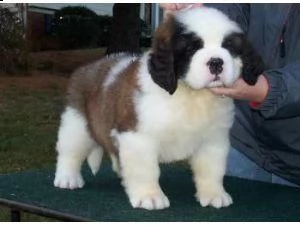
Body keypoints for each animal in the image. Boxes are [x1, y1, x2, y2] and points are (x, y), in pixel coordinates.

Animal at [52, 7, 264, 211]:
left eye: (229, 47)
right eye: (192, 48)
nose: (216, 62)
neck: (190, 94)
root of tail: (86, 68)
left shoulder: (213, 139)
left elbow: (212, 168)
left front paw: (214, 194)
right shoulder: (138, 136)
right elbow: (146, 169)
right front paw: (150, 196)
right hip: (77, 123)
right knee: (70, 151)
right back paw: (67, 178)